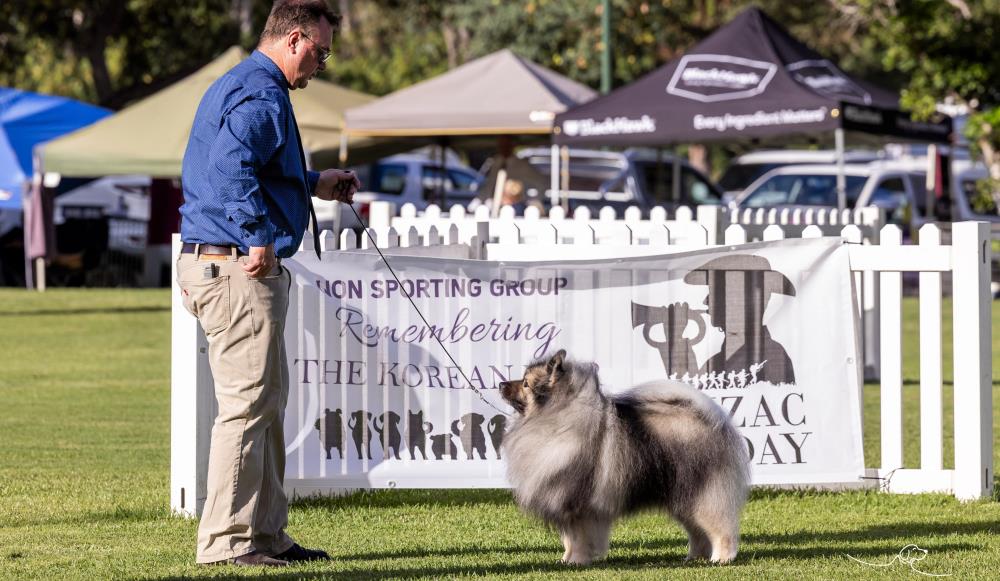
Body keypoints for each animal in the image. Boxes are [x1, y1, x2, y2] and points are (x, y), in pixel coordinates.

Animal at [499, 349, 749, 565]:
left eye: (525, 383)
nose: (501, 384)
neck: (555, 419)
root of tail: (716, 423)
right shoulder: (566, 505)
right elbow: (568, 540)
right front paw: (566, 560)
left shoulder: (576, 506)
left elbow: (578, 538)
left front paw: (577, 561)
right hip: (684, 499)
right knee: (698, 532)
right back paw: (693, 557)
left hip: (703, 496)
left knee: (720, 528)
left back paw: (721, 558)